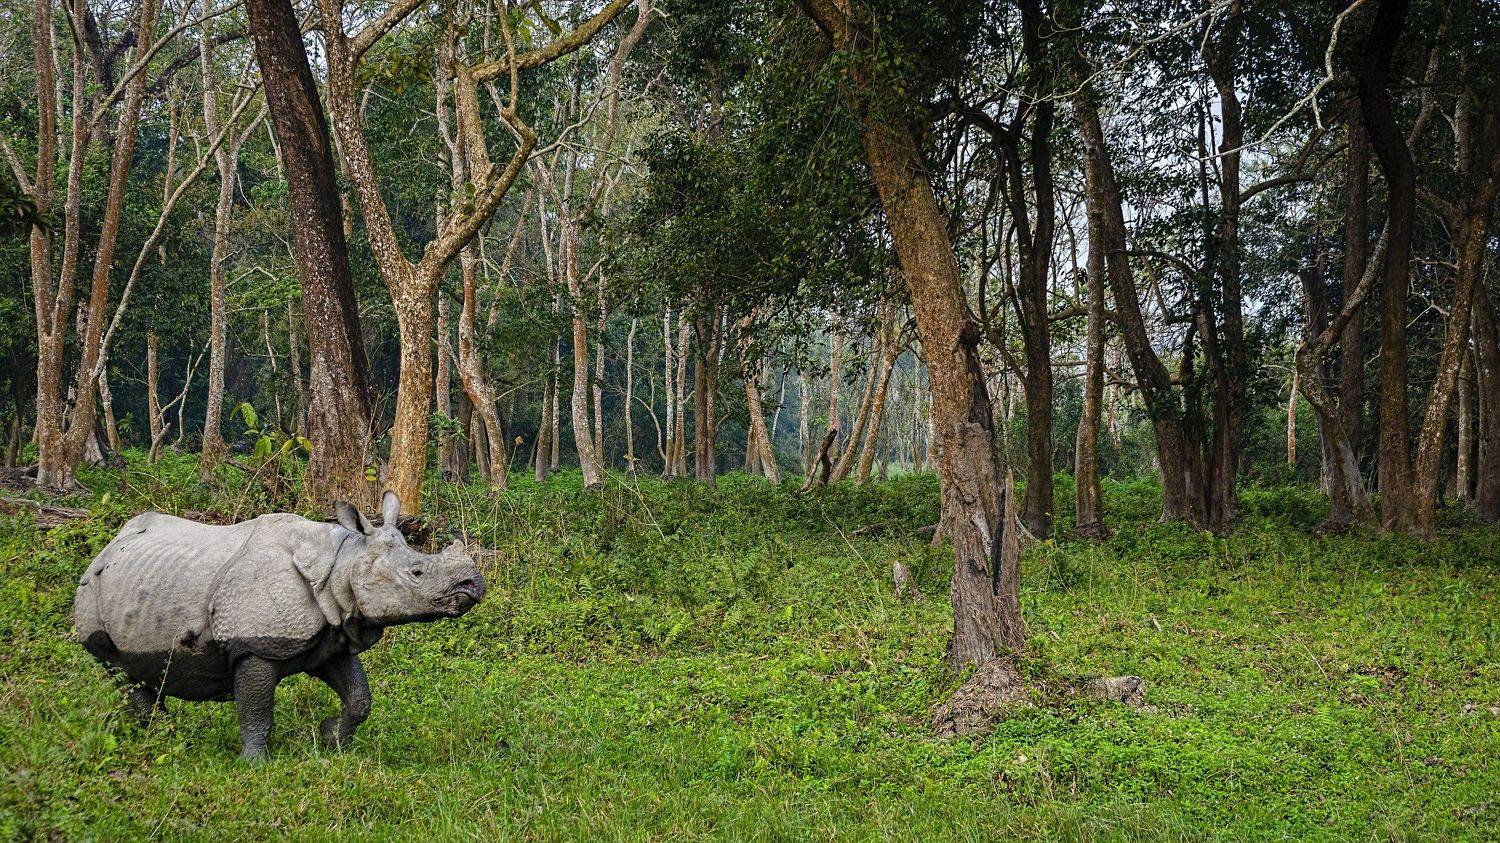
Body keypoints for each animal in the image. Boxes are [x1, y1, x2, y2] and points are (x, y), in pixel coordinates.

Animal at [72, 491, 485, 762]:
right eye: (417, 573)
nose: (474, 584)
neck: (343, 563)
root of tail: (110, 543)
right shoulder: (256, 644)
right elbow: (257, 709)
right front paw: (254, 765)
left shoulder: (333, 636)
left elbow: (359, 697)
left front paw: (331, 739)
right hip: (91, 591)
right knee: (114, 663)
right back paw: (159, 737)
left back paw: (163, 736)